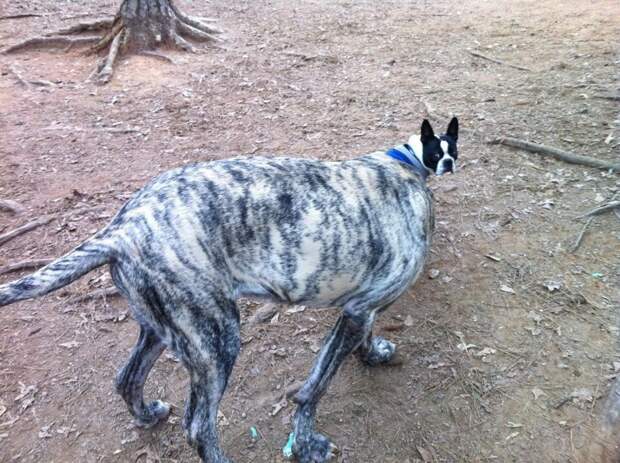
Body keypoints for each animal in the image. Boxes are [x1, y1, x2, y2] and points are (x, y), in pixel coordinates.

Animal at [0, 118, 456, 462]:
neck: (406, 166)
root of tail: (122, 230)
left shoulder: (359, 309)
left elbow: (363, 336)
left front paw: (373, 353)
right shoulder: (356, 313)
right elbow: (313, 390)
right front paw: (307, 445)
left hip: (165, 330)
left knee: (127, 379)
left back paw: (147, 414)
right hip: (218, 341)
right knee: (199, 428)